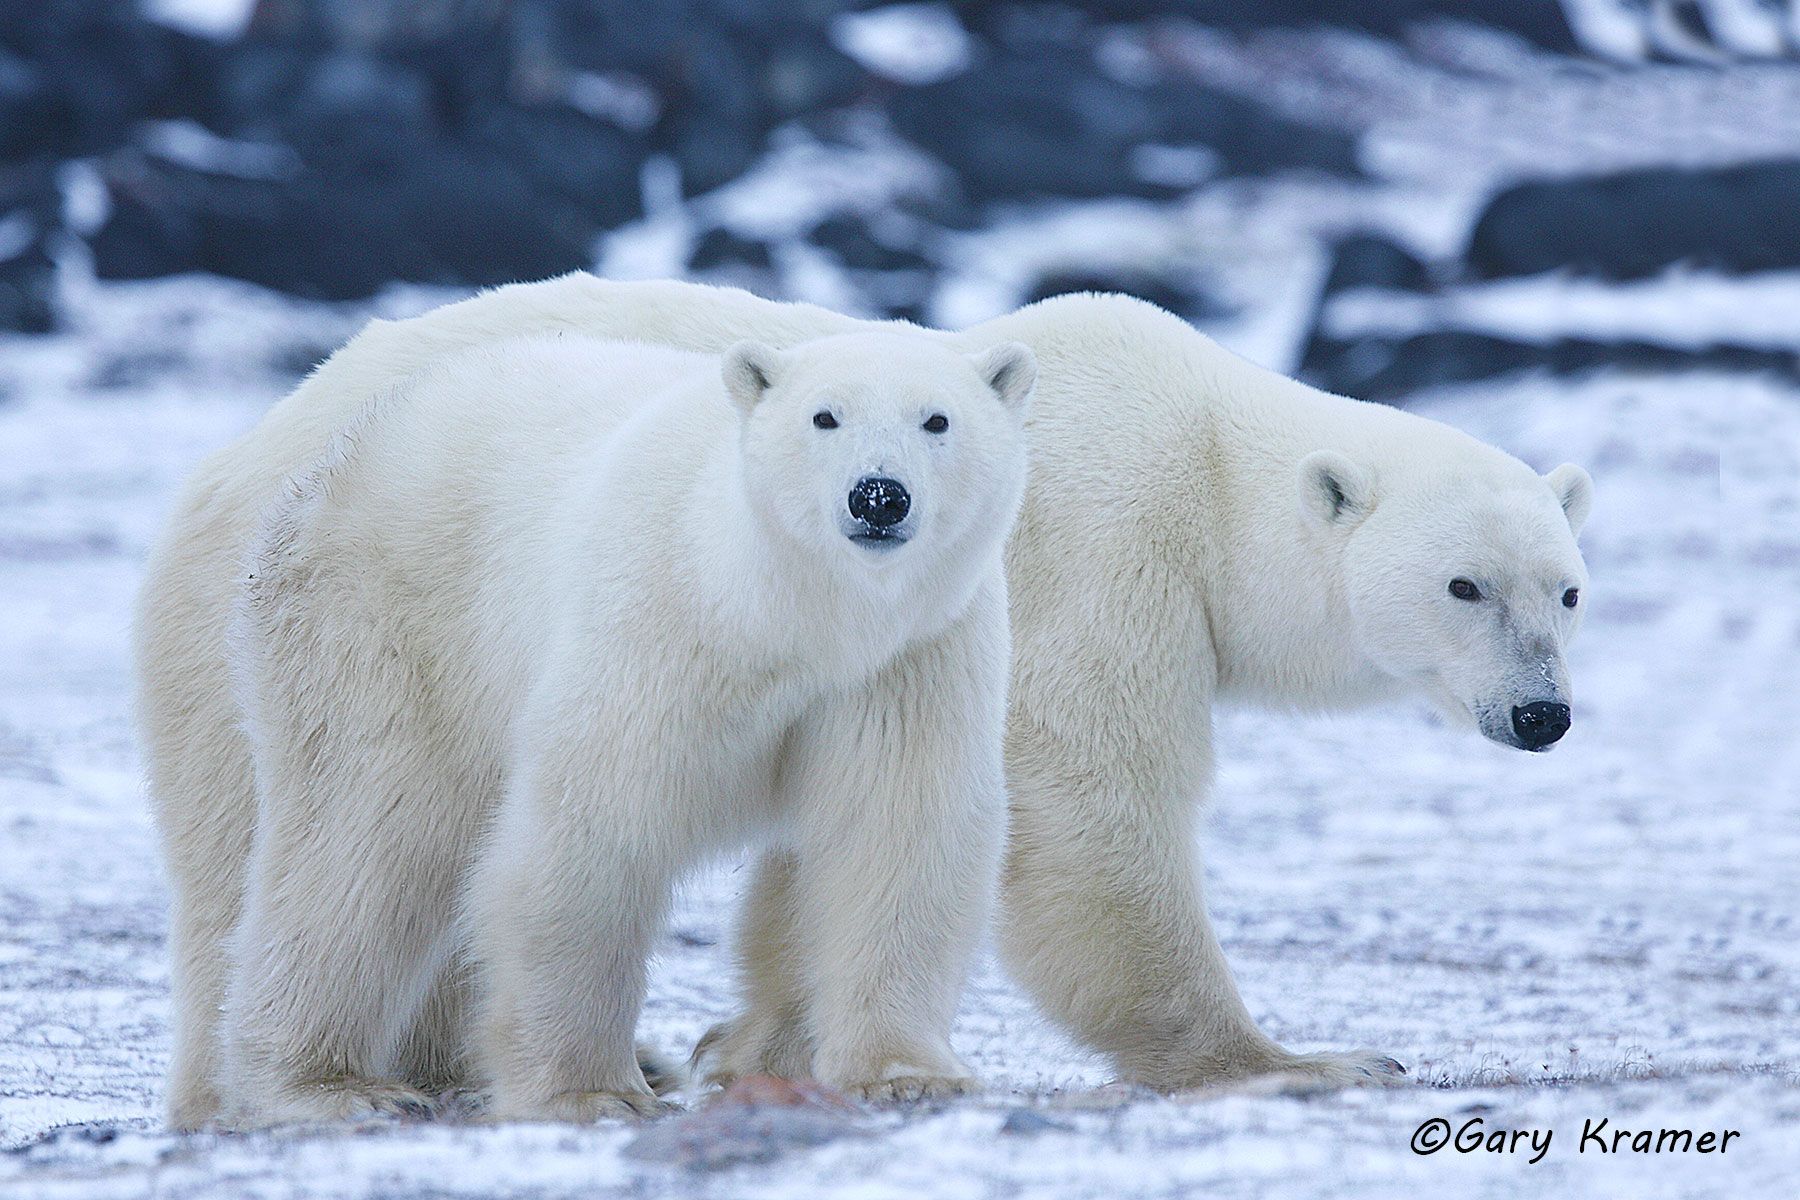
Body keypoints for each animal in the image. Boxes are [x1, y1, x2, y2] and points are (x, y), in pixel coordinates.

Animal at [135, 327, 1035, 1127]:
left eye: (937, 419)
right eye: (825, 416)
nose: (879, 495)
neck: (779, 614)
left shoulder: (907, 658)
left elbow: (897, 833)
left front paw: (907, 1075)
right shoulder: (658, 623)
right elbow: (596, 828)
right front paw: (589, 1093)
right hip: (386, 623)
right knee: (364, 843)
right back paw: (329, 1085)